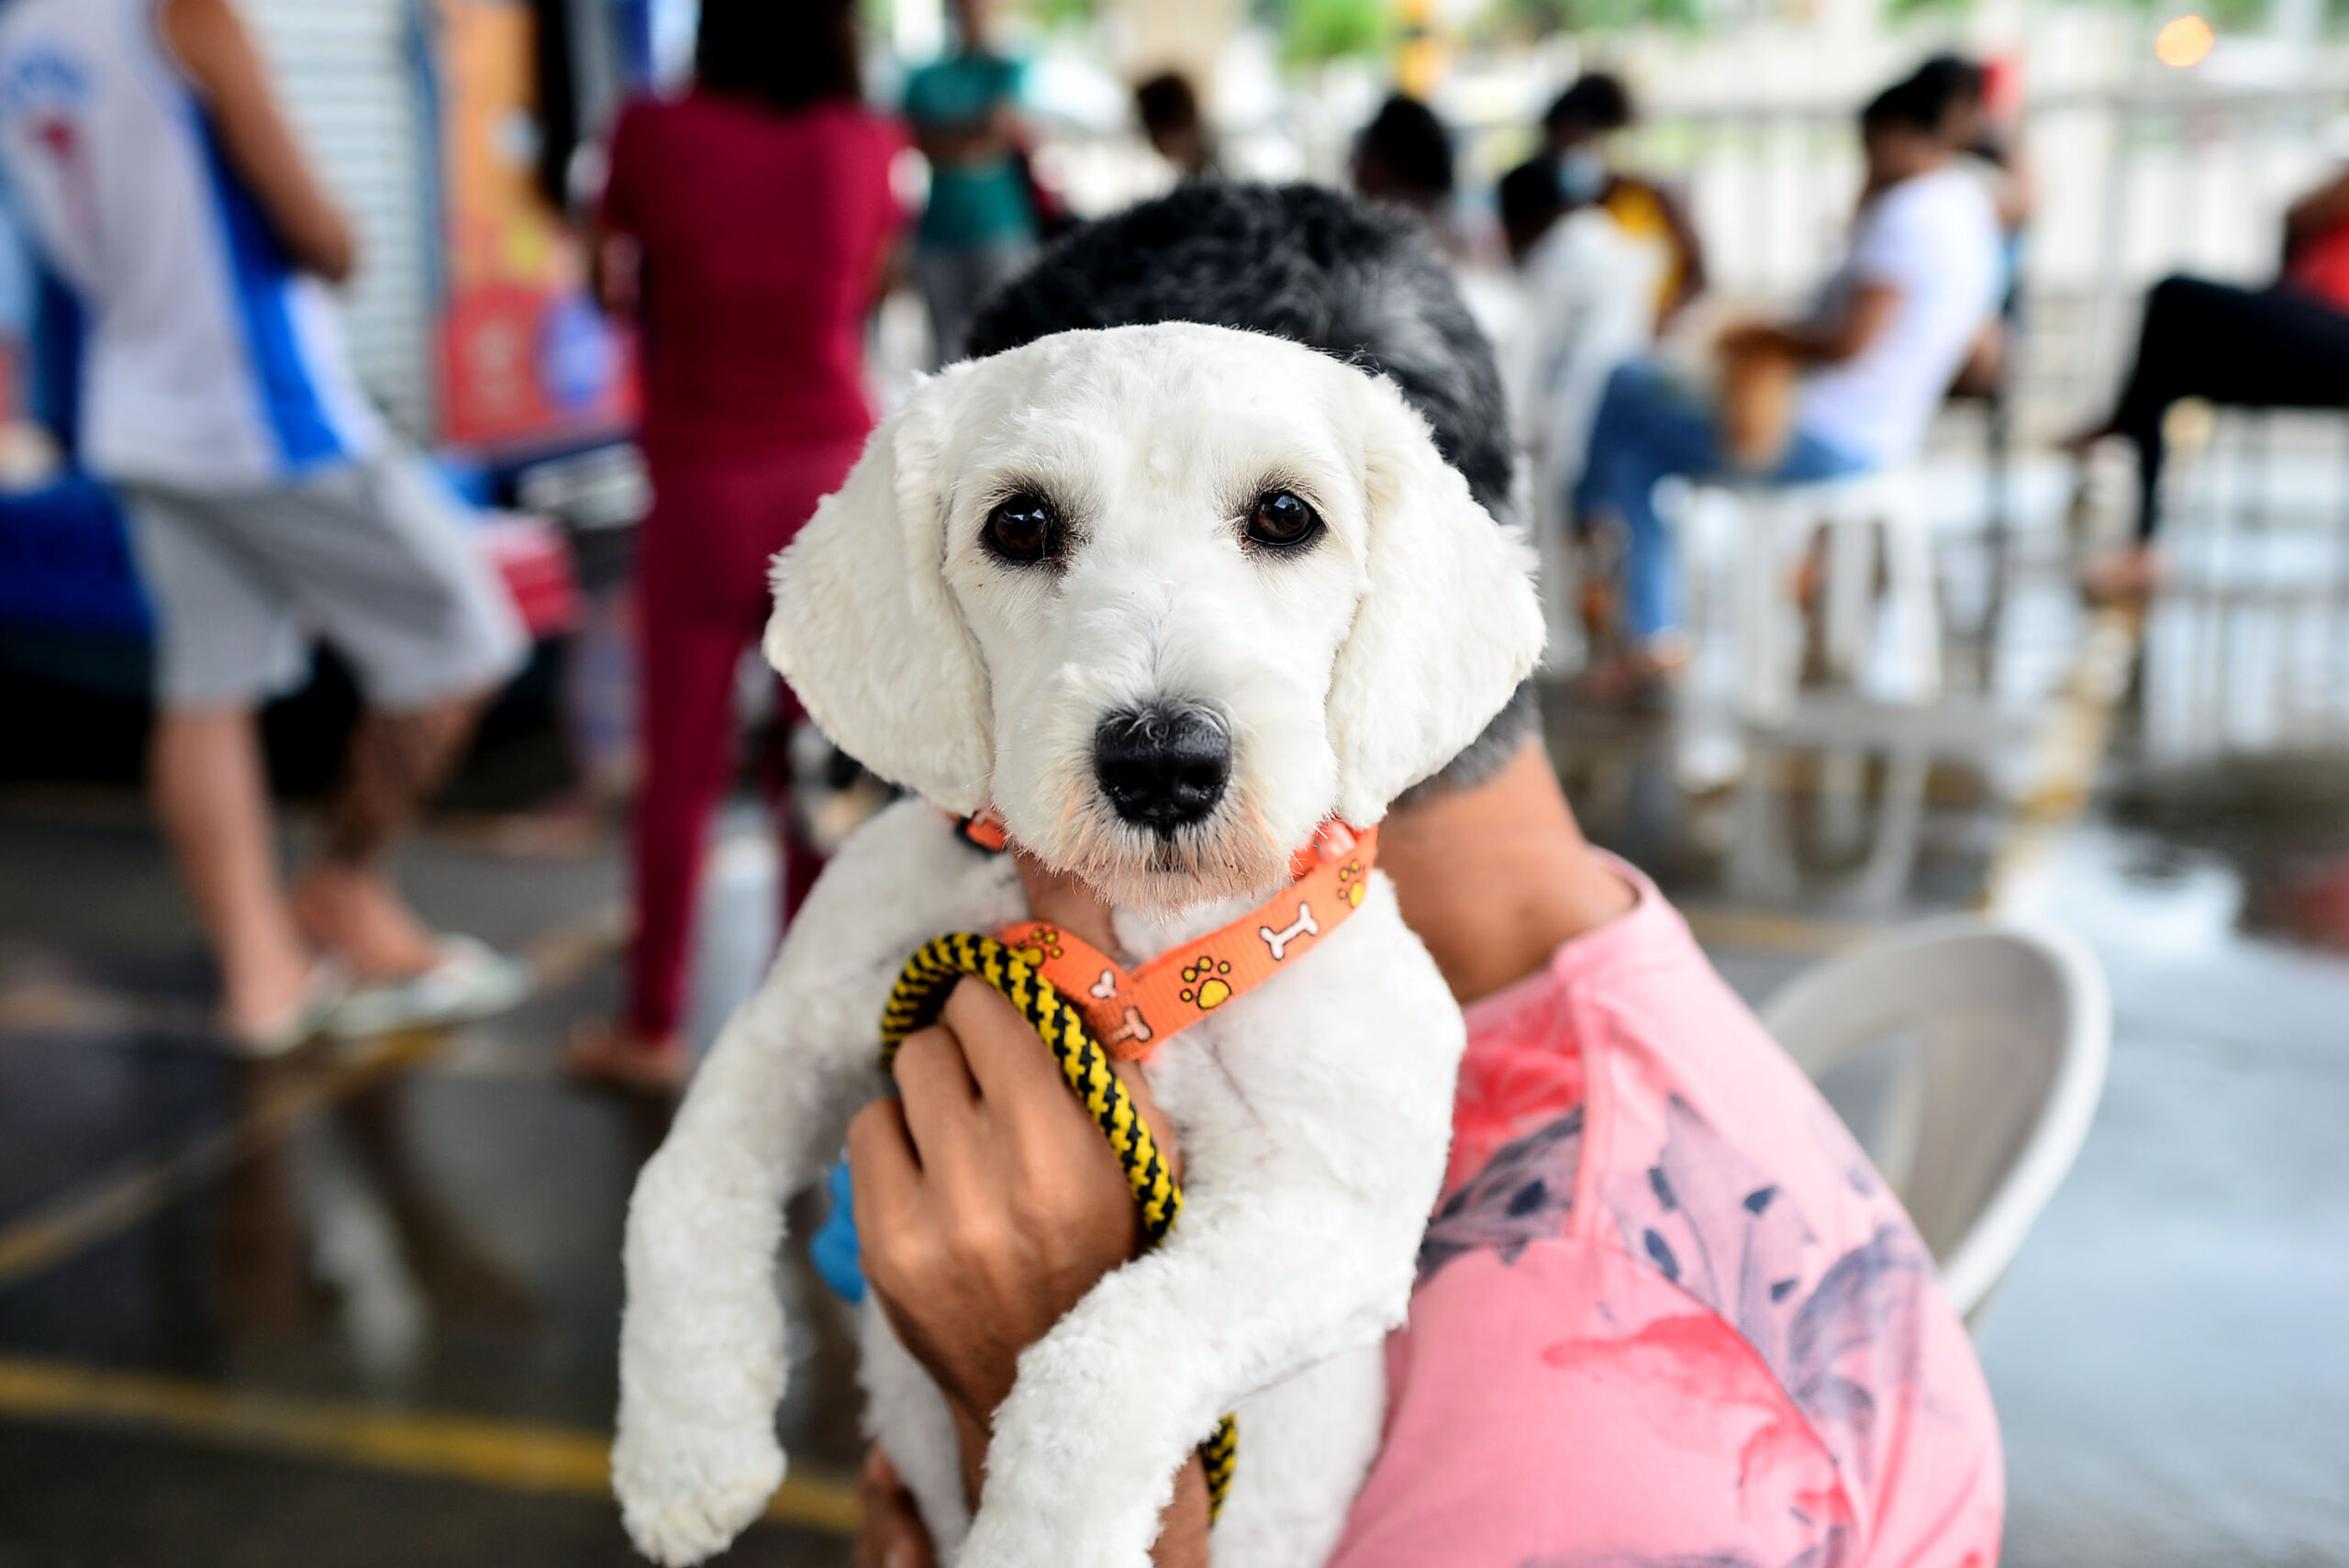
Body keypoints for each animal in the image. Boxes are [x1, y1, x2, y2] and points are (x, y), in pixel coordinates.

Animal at [615, 324, 1550, 1568]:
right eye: (1019, 523)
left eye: (1286, 514)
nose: (1163, 760)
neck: (1137, 935)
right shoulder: (801, 1026)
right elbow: (677, 1187)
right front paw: (684, 1449)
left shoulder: (1336, 1212)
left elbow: (1105, 1358)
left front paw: (1036, 1538)